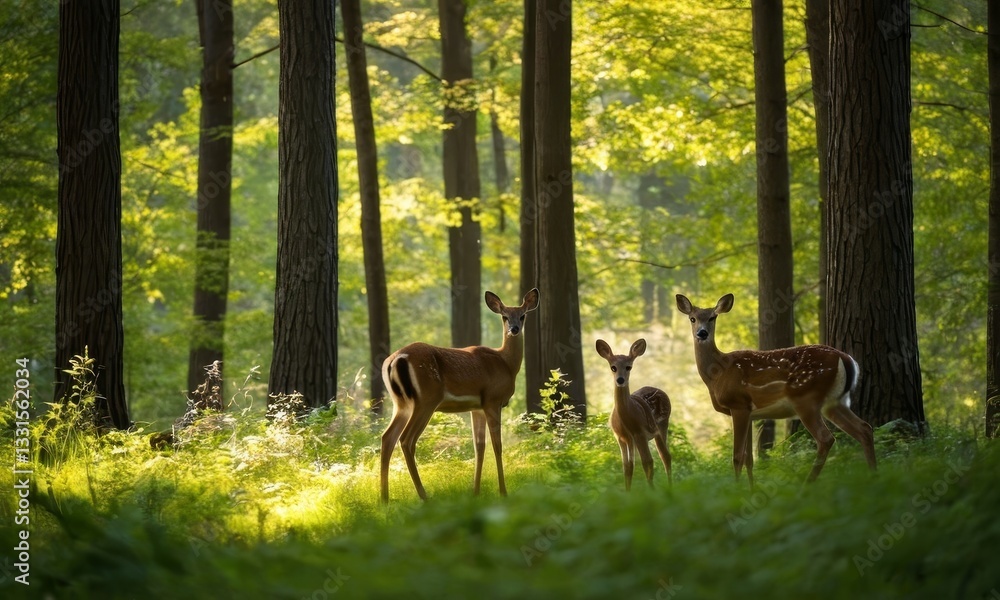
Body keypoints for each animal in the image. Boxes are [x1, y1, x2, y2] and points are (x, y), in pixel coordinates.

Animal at [380, 288, 539, 503]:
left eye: (522, 316)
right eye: (505, 316)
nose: (514, 329)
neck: (506, 364)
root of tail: (395, 359)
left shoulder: (477, 408)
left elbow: (479, 447)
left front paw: (476, 492)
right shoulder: (492, 400)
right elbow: (497, 446)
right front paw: (503, 492)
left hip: (401, 403)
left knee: (387, 437)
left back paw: (384, 499)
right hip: (426, 400)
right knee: (406, 440)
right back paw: (424, 496)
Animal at [596, 339, 672, 490]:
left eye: (628, 367)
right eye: (613, 367)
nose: (620, 380)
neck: (627, 419)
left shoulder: (640, 433)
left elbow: (647, 462)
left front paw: (652, 491)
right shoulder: (621, 437)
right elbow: (628, 467)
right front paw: (628, 492)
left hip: (662, 424)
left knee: (665, 456)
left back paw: (670, 488)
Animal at [675, 293, 877, 486]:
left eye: (713, 317)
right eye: (692, 318)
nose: (702, 333)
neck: (718, 374)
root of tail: (846, 358)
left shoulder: (738, 404)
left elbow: (737, 457)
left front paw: (737, 491)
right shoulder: (750, 413)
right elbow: (749, 459)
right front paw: (752, 490)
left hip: (806, 398)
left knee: (826, 439)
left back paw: (806, 486)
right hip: (834, 402)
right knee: (864, 428)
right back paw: (874, 476)